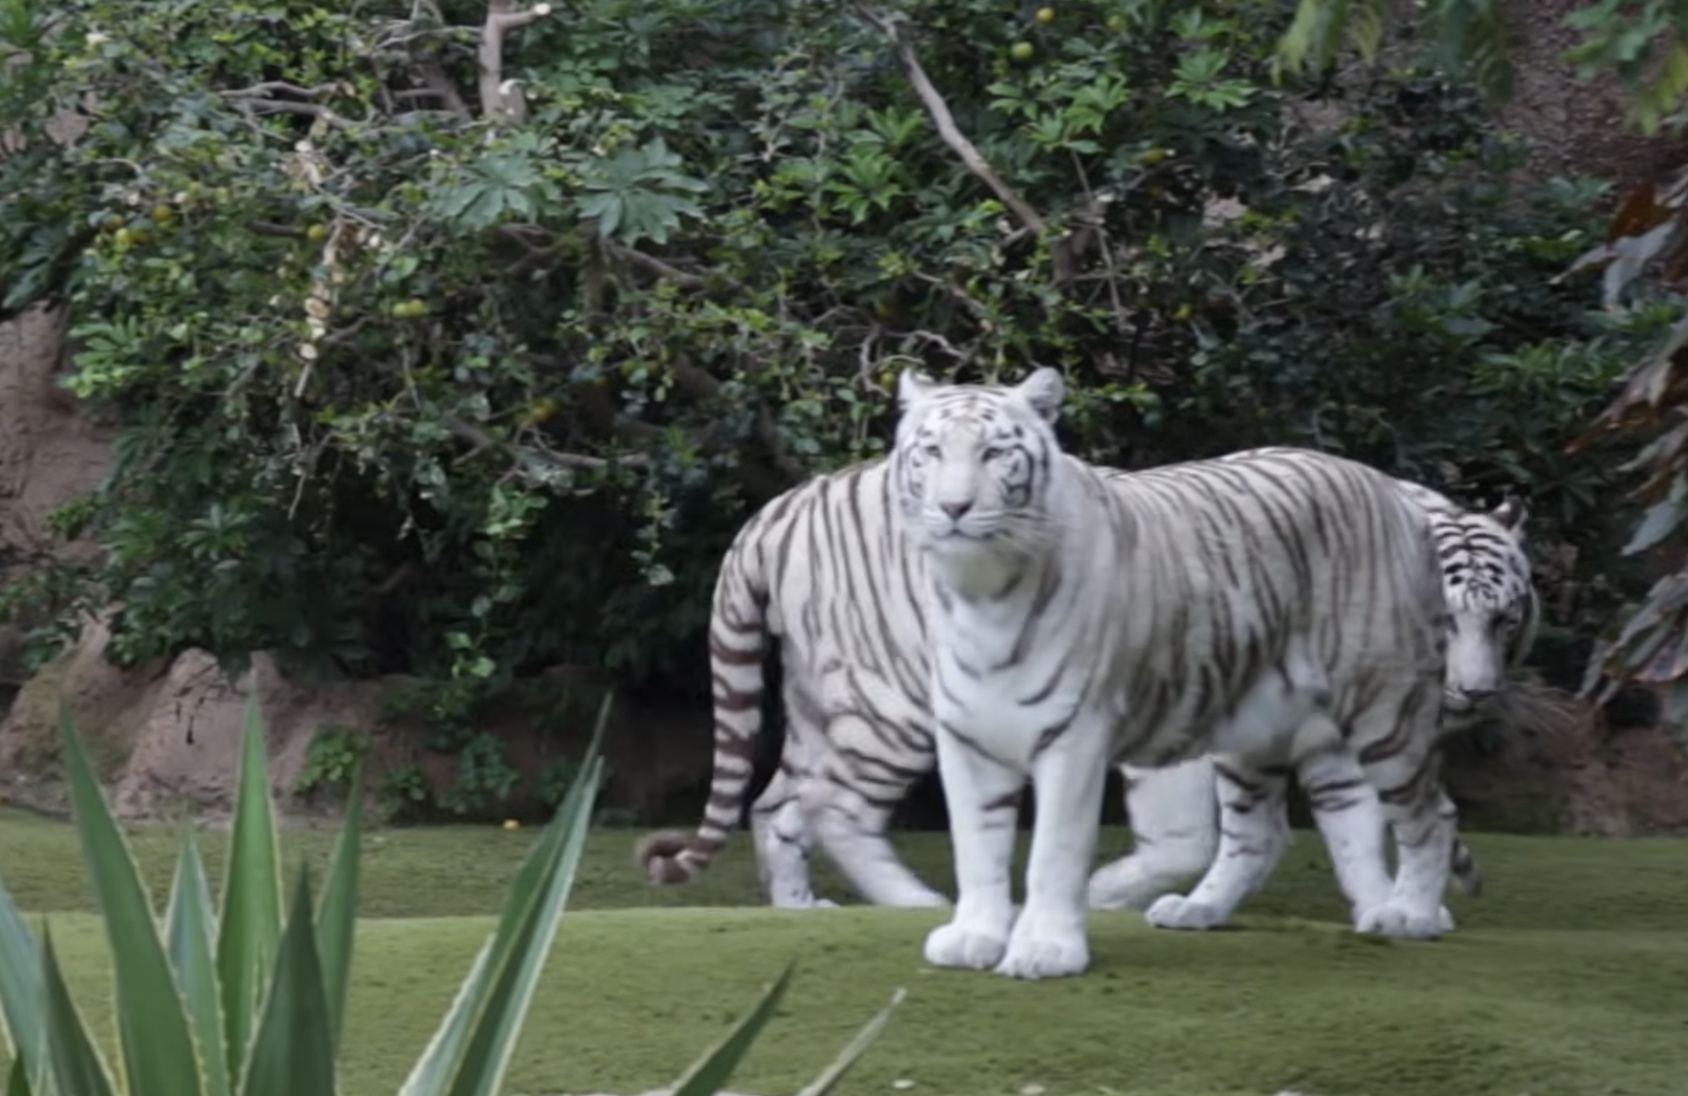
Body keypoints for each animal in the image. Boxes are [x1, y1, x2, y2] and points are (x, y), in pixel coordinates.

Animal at [636, 400, 1534, 934]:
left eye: (1504, 618)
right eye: (1444, 619)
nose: (1471, 693)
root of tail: (780, 510)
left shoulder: (1317, 738)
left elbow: (1353, 830)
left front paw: (1393, 908)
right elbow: (1193, 836)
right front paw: (1102, 895)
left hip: (828, 703)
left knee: (779, 805)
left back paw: (800, 909)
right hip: (891, 704)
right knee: (840, 811)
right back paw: (920, 903)